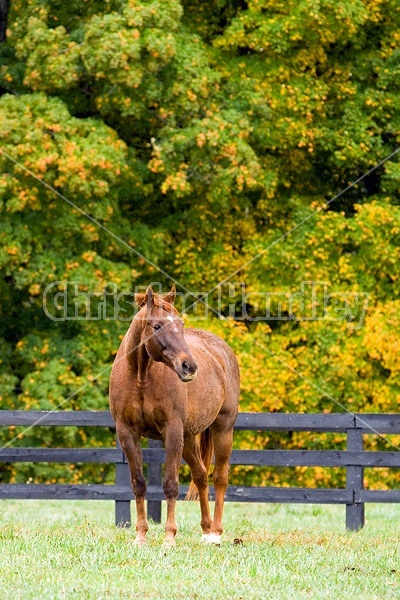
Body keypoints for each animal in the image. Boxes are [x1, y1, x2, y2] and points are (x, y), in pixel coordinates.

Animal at [109, 284, 239, 544]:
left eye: (180, 324)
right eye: (157, 326)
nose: (189, 366)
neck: (140, 378)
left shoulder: (171, 432)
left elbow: (170, 485)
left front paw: (169, 537)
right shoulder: (127, 433)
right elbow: (138, 483)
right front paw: (140, 536)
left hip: (222, 429)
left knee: (220, 477)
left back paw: (216, 533)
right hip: (188, 439)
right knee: (200, 476)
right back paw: (206, 530)